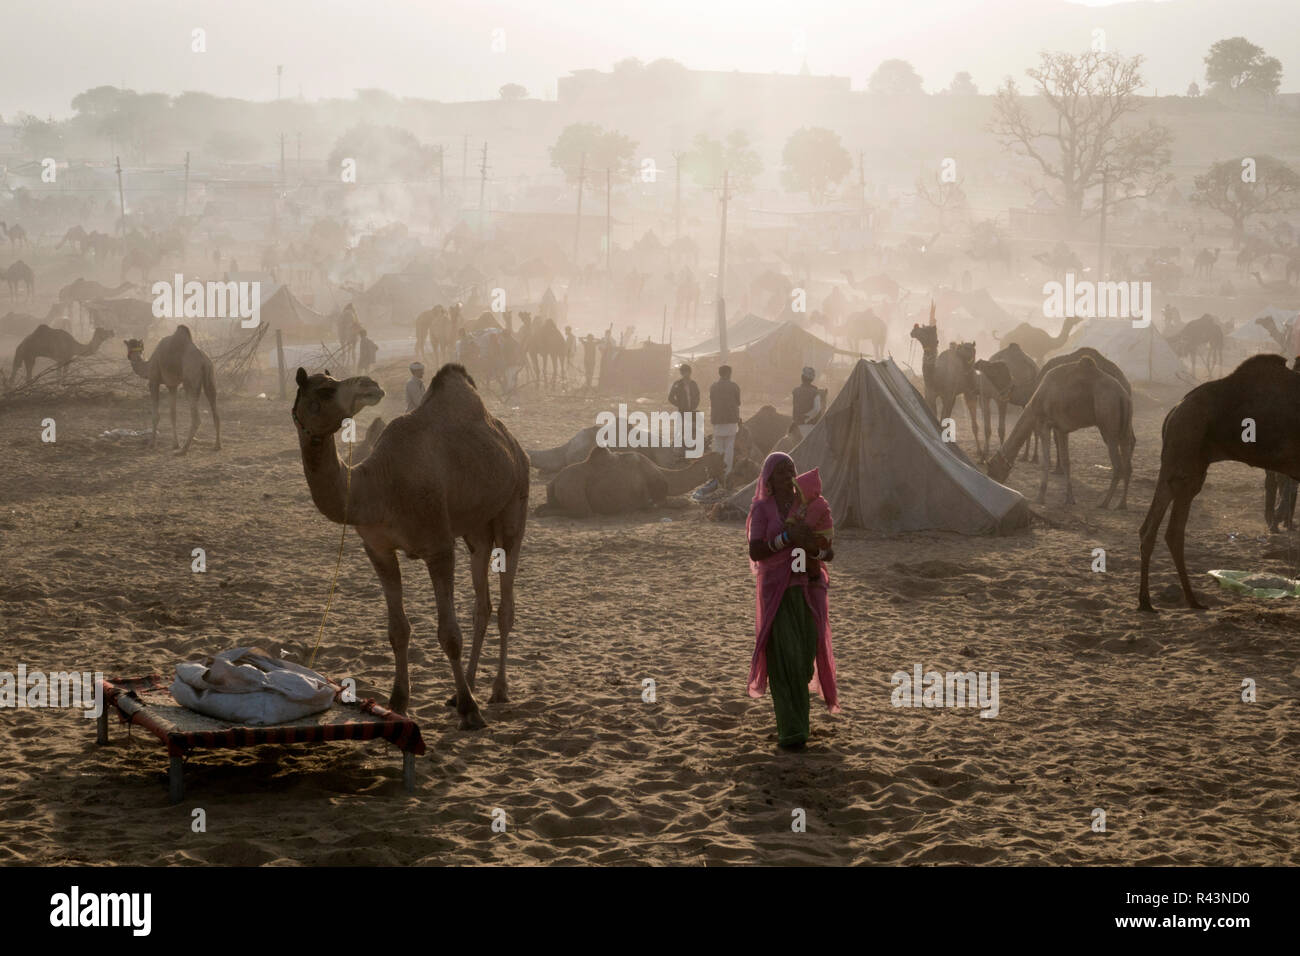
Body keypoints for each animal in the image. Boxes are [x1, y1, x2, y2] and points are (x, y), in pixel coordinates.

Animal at [292, 361, 530, 723]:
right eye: (325, 389)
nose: (370, 384)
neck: (379, 487)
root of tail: (514, 445)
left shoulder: (439, 547)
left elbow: (449, 635)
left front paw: (470, 711)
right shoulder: (378, 550)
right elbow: (398, 631)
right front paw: (398, 702)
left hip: (514, 506)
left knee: (505, 603)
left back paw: (497, 690)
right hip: (475, 530)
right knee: (483, 604)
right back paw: (464, 686)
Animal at [987, 356, 1133, 512]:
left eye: (991, 468)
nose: (994, 482)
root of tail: (1123, 396)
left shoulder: (1044, 424)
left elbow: (1046, 461)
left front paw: (1040, 497)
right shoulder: (1061, 429)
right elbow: (1066, 461)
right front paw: (1070, 499)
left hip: (1108, 422)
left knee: (1118, 465)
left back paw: (1104, 503)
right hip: (1124, 428)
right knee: (1128, 462)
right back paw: (1121, 504)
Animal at [1133, 356, 1300, 608]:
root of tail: (1175, 409)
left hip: (1179, 461)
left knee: (1152, 525)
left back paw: (1151, 601)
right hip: (1187, 450)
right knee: (1173, 529)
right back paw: (1188, 599)